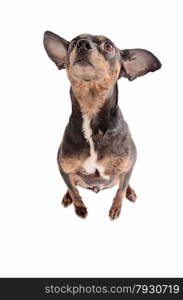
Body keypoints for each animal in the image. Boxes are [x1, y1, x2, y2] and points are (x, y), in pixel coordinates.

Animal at [43, 31, 160, 220]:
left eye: (108, 47)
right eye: (73, 43)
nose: (82, 44)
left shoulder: (127, 167)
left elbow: (120, 191)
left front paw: (116, 208)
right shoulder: (64, 169)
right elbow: (74, 191)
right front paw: (79, 207)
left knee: (123, 183)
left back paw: (130, 192)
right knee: (73, 185)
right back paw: (67, 197)